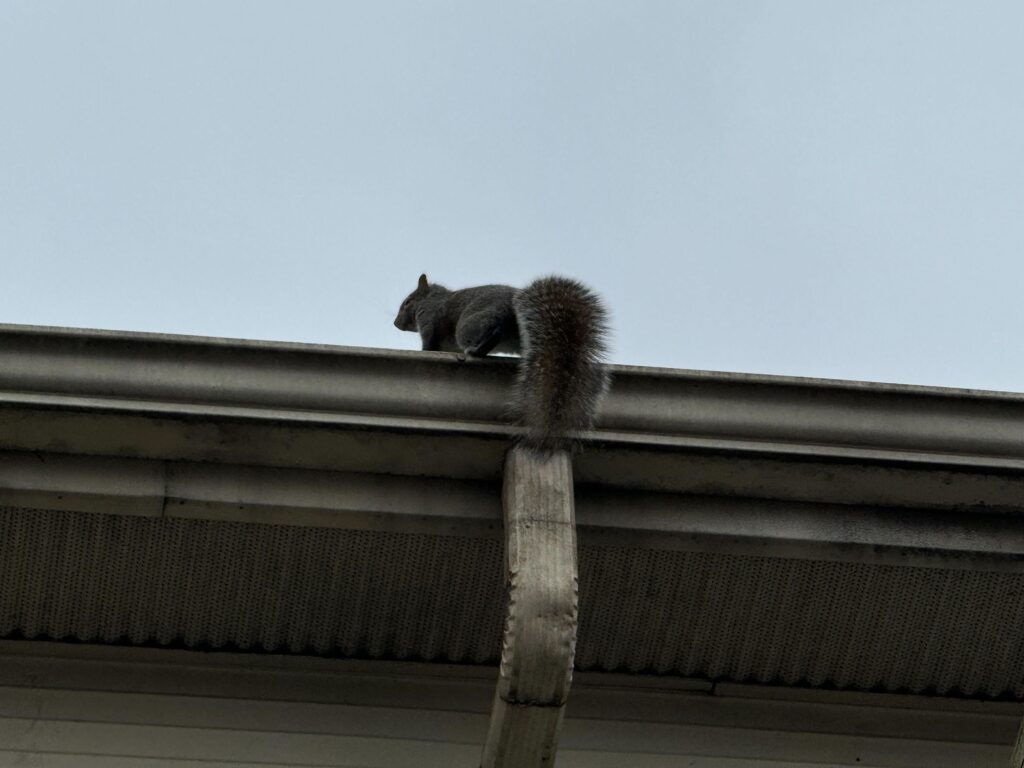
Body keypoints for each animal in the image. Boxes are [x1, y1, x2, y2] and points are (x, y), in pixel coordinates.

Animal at [394, 274, 610, 453]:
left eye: (407, 302)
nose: (396, 323)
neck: (432, 298)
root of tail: (514, 305)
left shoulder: (429, 319)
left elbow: (429, 344)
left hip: (469, 325)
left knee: (492, 333)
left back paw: (476, 350)